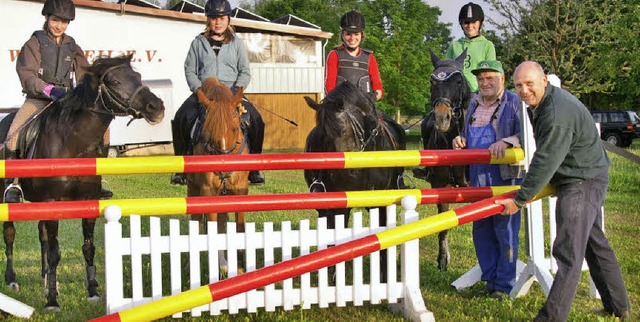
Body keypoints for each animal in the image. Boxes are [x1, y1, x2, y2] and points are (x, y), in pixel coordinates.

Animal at [0, 54, 168, 310]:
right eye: (115, 82)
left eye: (137, 76)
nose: (156, 107)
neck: (72, 143)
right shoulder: (53, 203)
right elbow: (55, 252)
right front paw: (52, 300)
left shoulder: (87, 201)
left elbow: (87, 247)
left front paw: (92, 291)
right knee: (10, 234)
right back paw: (12, 280)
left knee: (42, 236)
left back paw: (45, 279)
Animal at [188, 76, 248, 272]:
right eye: (208, 132)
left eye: (235, 128)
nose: (223, 170)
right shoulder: (208, 191)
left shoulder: (240, 192)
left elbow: (238, 228)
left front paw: (239, 268)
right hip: (193, 189)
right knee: (196, 220)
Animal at [304, 81, 404, 282]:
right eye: (322, 134)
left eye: (342, 130)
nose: (342, 171)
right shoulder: (337, 201)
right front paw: (334, 275)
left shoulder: (379, 202)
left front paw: (384, 275)